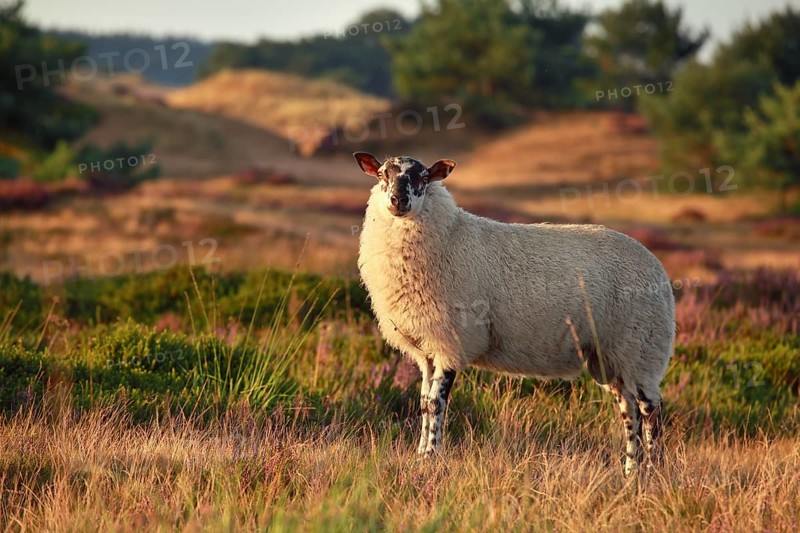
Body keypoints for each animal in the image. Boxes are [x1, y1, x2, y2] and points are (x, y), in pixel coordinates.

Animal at [353, 152, 676, 475]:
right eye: (381, 175)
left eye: (422, 178)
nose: (398, 201)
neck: (449, 235)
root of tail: (658, 269)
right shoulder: (427, 350)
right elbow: (422, 403)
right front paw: (420, 456)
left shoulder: (454, 342)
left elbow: (436, 403)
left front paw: (432, 457)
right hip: (612, 358)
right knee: (630, 412)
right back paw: (631, 473)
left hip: (642, 347)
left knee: (651, 410)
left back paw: (653, 471)